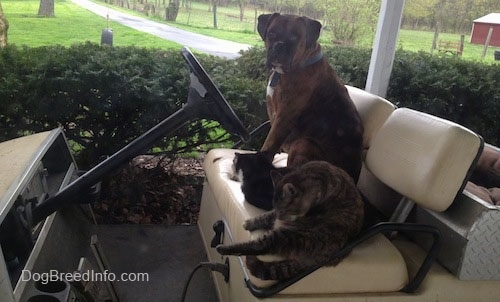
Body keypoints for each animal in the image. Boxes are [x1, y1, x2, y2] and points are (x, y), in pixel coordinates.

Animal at [216, 162, 364, 280]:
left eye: (285, 211)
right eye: (277, 208)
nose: (280, 219)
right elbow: (267, 216)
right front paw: (250, 223)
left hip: (291, 236)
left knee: (260, 245)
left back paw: (224, 248)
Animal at [258, 11, 364, 180]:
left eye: (294, 38)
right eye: (271, 34)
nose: (279, 45)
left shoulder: (284, 117)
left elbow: (269, 143)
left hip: (304, 143)